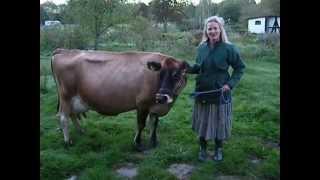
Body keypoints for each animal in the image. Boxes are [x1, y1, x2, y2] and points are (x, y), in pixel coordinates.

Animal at [51, 48, 189, 150]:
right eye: (160, 74)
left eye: (177, 75)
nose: (161, 97)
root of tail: (63, 51)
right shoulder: (142, 104)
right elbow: (141, 125)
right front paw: (138, 144)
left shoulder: (155, 106)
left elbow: (154, 124)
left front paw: (154, 142)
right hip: (66, 95)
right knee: (63, 117)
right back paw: (68, 141)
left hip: (73, 99)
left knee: (72, 114)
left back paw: (81, 130)